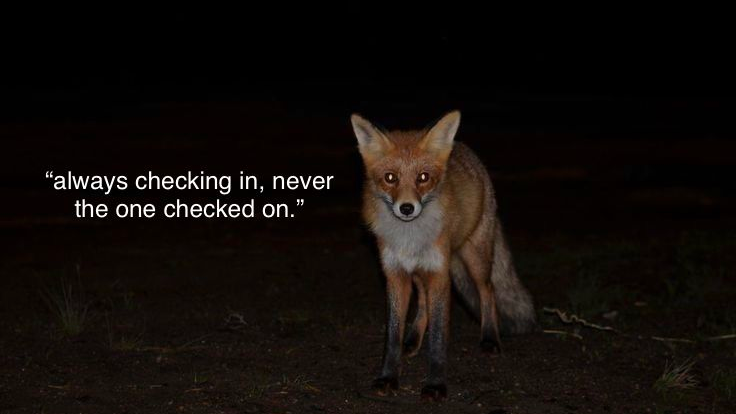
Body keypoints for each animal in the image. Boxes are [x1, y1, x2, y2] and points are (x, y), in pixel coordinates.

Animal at [350, 110, 536, 401]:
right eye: (390, 178)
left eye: (423, 177)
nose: (406, 208)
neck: (410, 238)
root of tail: (462, 148)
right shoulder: (395, 274)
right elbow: (392, 334)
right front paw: (388, 376)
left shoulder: (439, 273)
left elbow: (438, 337)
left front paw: (435, 385)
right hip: (421, 271)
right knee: (423, 301)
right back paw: (412, 340)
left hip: (475, 257)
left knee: (488, 291)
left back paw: (490, 338)